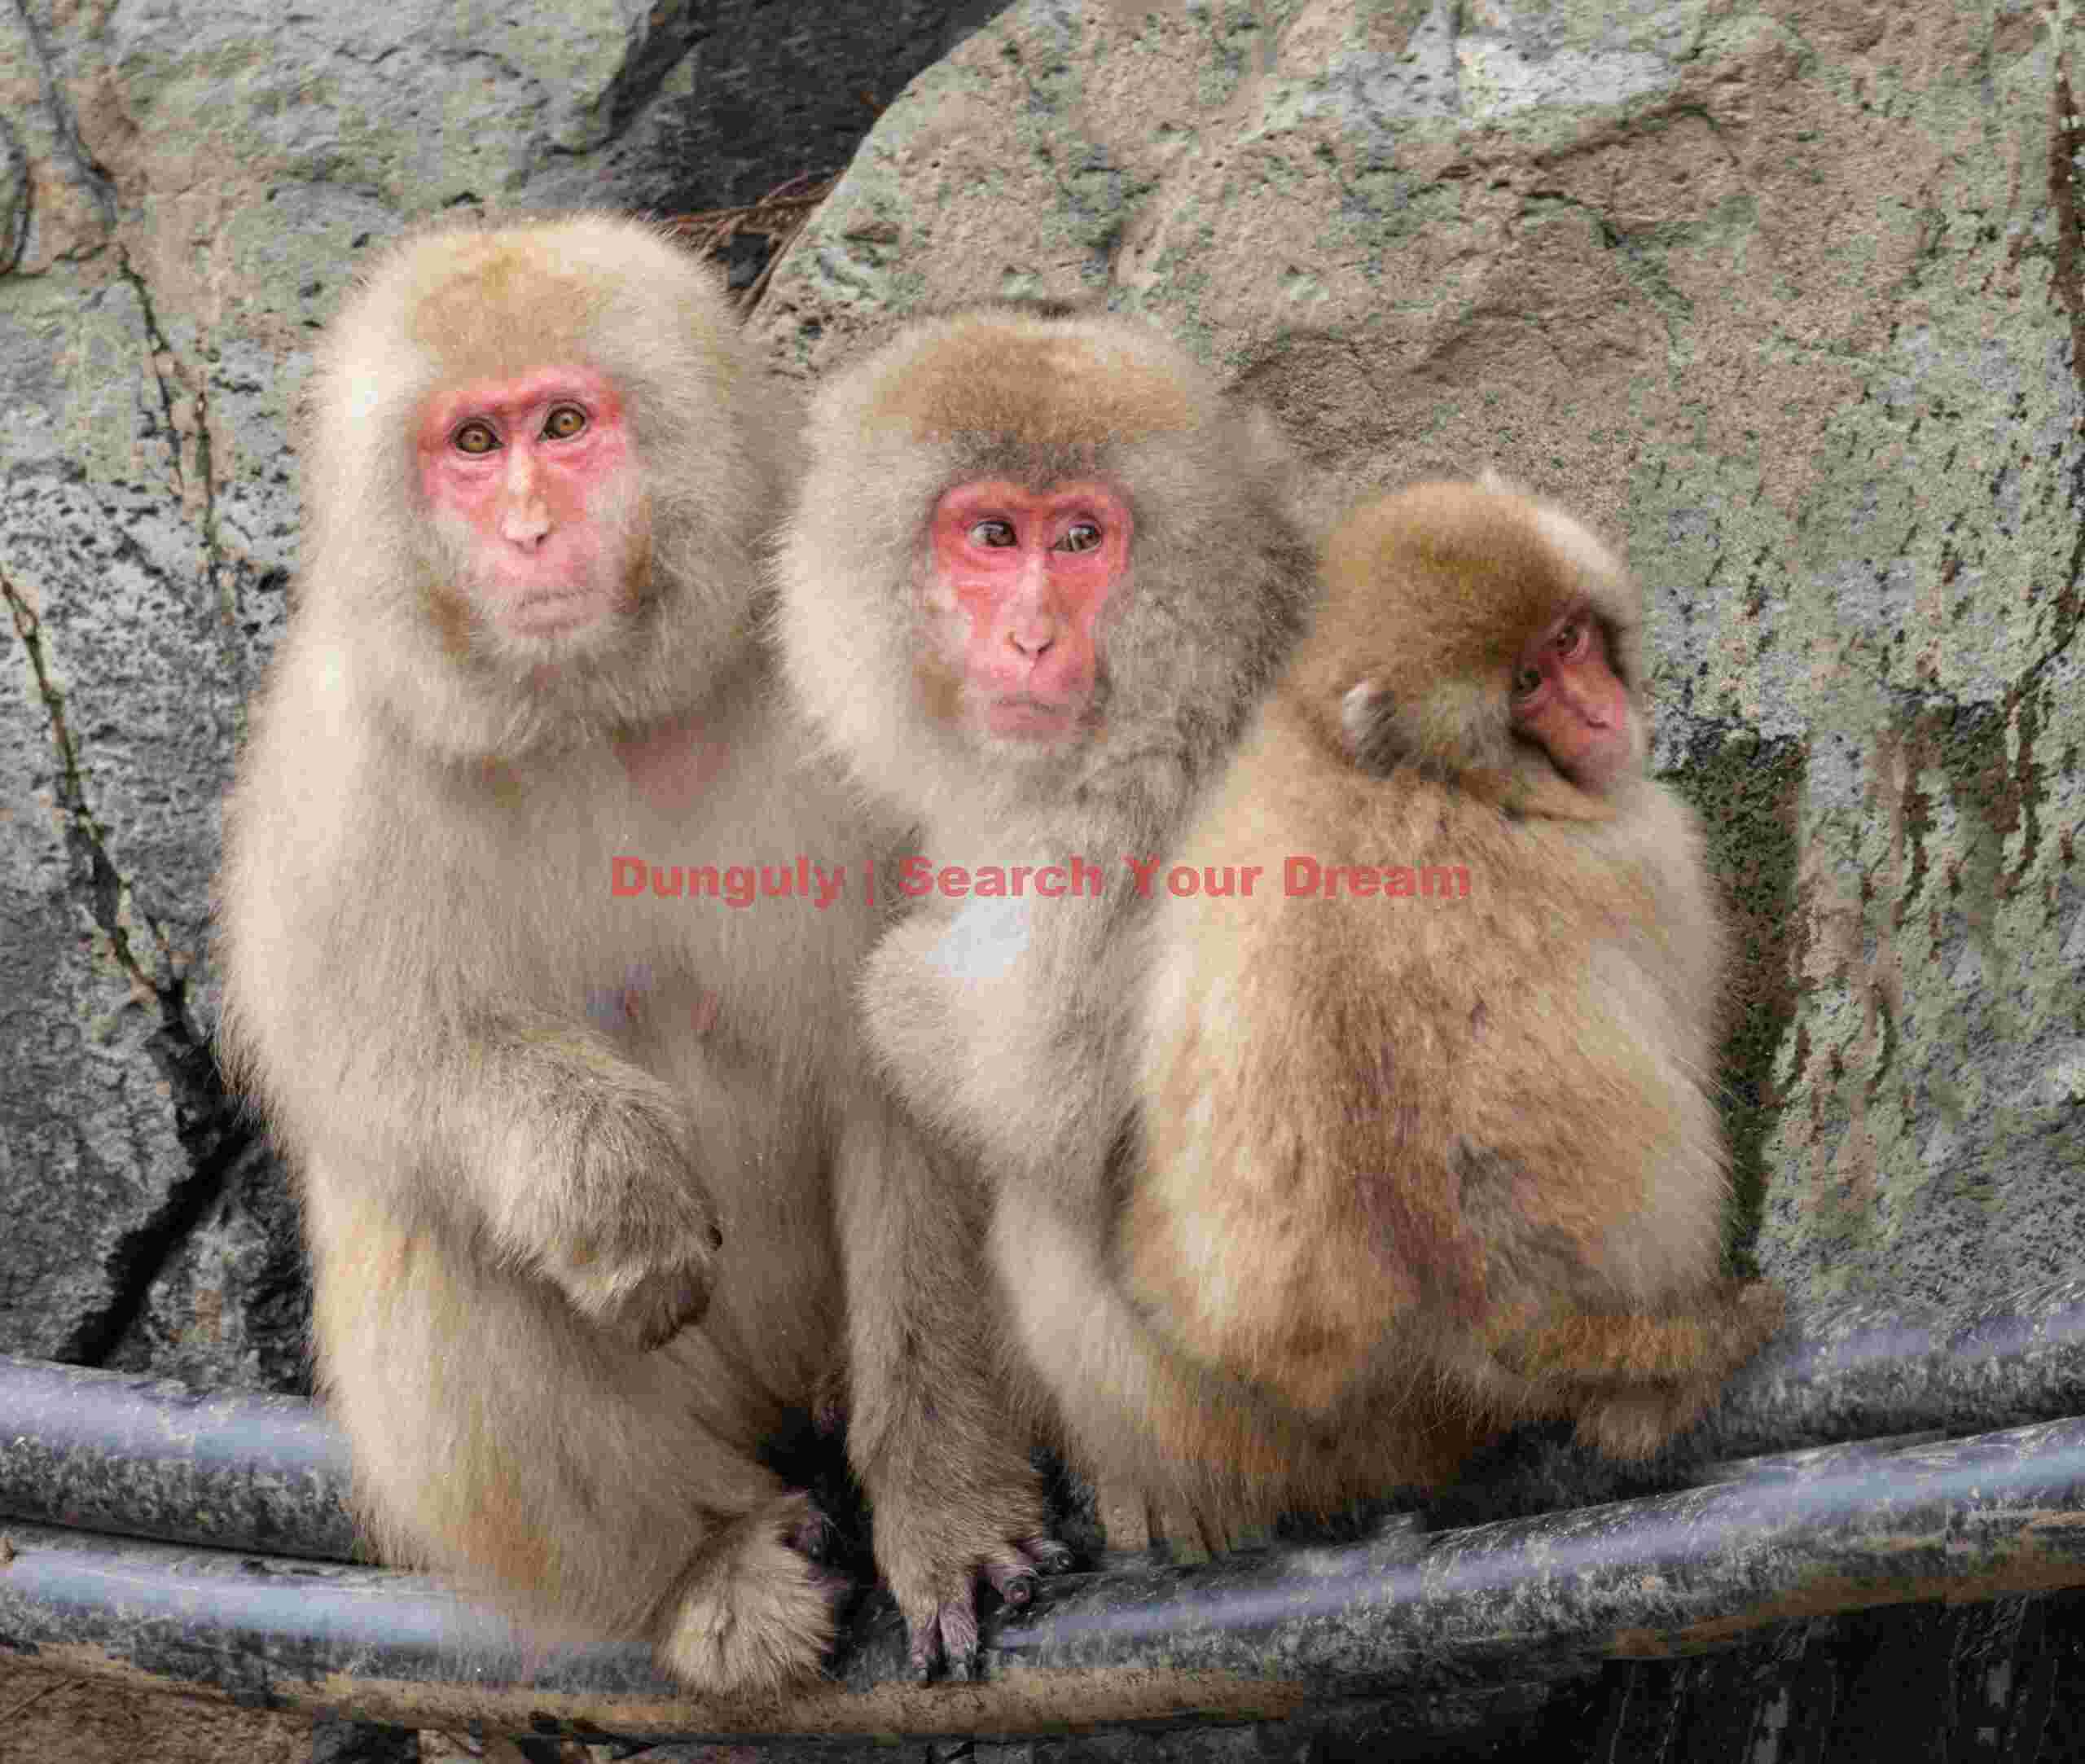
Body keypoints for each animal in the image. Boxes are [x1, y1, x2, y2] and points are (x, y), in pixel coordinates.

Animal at [214, 216, 1054, 1692]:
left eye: (564, 423)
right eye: (472, 443)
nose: (528, 528)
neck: (596, 708)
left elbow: (924, 1070)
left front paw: (951, 1506)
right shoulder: (342, 751)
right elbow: (365, 1050)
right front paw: (614, 1192)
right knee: (432, 1213)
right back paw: (705, 1563)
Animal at [770, 305, 1475, 1552]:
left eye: (1081, 537)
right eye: (992, 534)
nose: (1034, 637)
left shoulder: (1133, 801)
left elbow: (1039, 1085)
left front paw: (895, 983)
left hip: (1301, 1415)